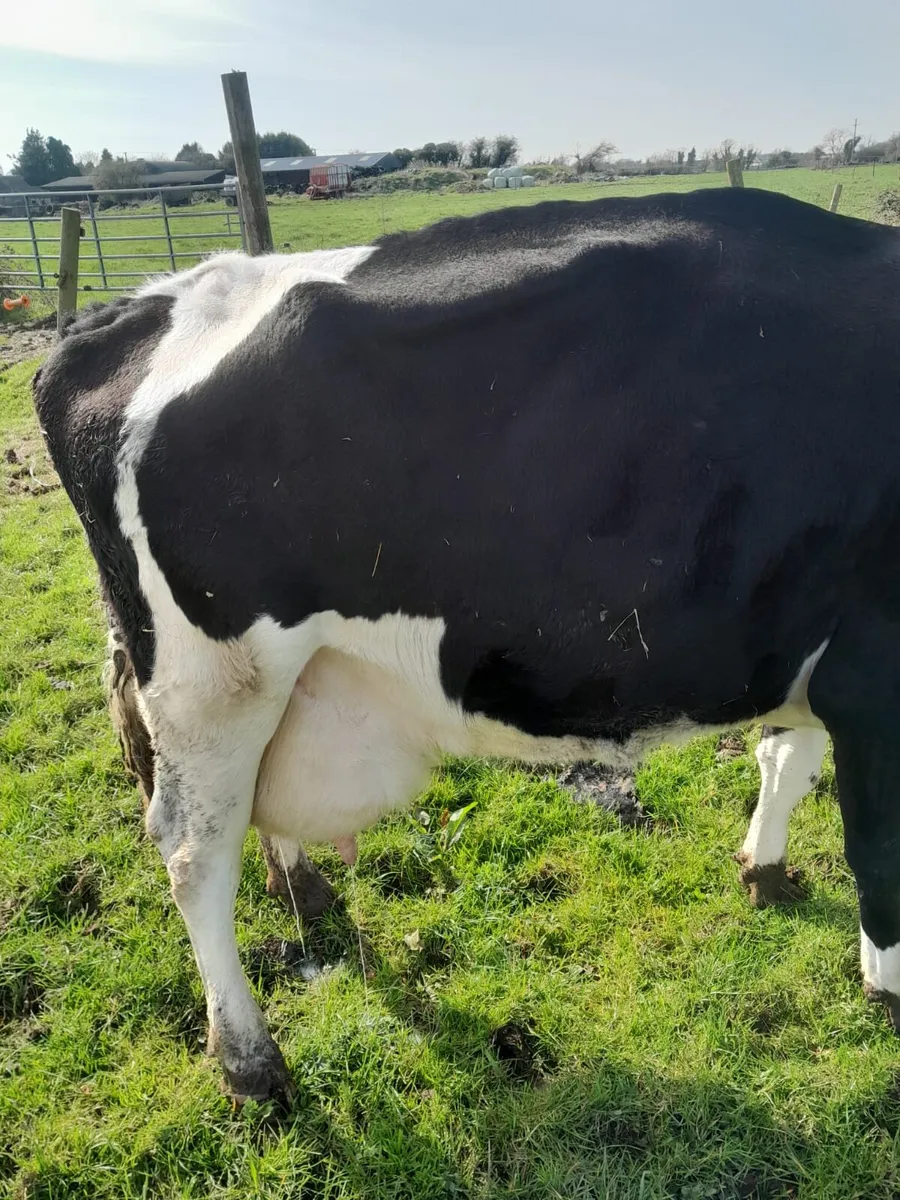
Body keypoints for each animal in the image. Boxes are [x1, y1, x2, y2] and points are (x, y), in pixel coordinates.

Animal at [33, 187, 900, 1103]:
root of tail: (121, 313)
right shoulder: (876, 680)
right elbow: (879, 852)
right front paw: (888, 992)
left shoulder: (815, 645)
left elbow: (787, 760)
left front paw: (763, 871)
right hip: (213, 679)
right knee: (194, 851)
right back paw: (250, 1060)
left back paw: (302, 887)